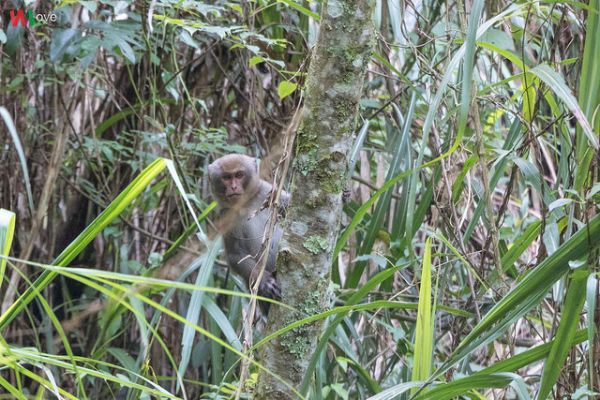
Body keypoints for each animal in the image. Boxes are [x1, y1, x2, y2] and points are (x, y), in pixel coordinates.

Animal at [207, 153, 290, 304]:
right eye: (226, 177)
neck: (246, 204)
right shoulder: (226, 214)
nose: (234, 187)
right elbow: (236, 255)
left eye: (239, 175)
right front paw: (264, 280)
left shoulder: (268, 191)